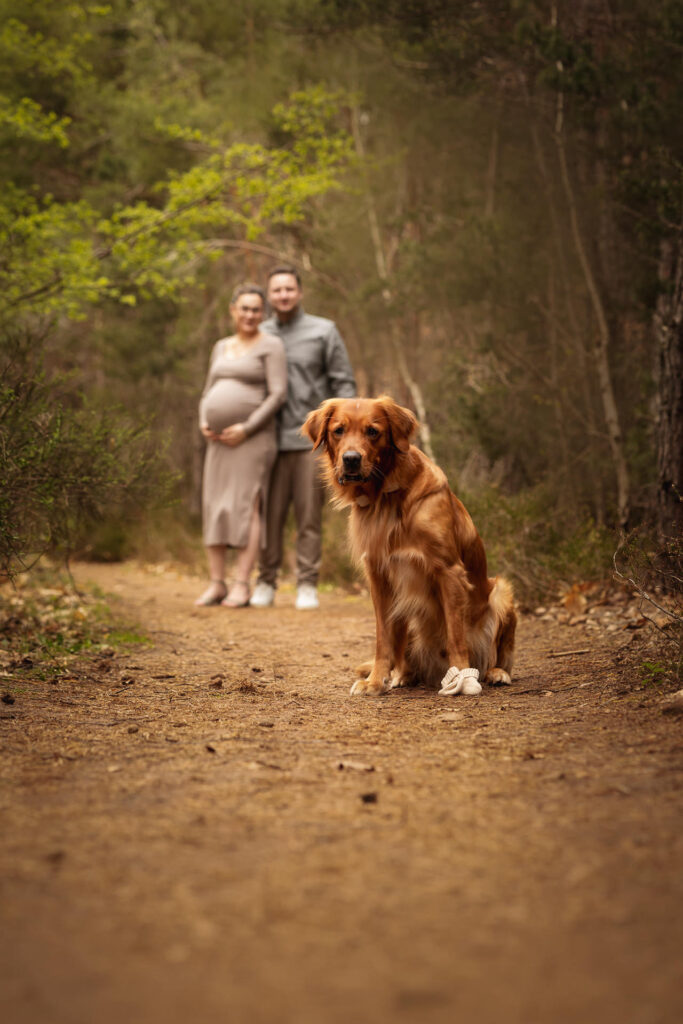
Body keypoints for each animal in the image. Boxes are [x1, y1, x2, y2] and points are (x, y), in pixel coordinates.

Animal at [301, 393, 516, 696]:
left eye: (373, 431)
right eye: (338, 430)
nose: (351, 460)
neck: (387, 497)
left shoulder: (449, 571)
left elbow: (456, 635)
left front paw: (464, 678)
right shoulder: (379, 576)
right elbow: (383, 639)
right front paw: (375, 681)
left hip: (501, 593)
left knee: (499, 654)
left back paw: (496, 672)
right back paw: (403, 675)